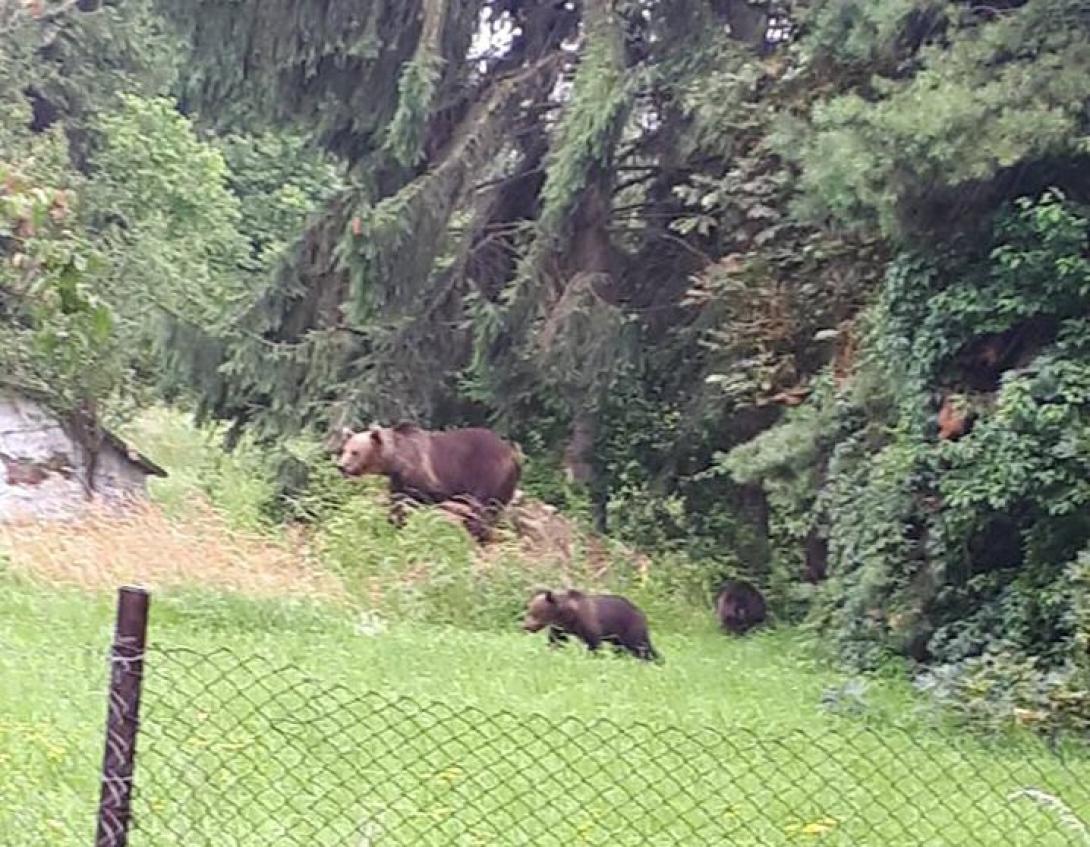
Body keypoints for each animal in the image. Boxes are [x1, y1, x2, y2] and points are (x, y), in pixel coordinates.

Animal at [333, 422, 521, 542]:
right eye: (344, 449)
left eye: (355, 452)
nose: (341, 466)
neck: (397, 461)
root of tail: (512, 453)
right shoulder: (399, 482)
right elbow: (398, 503)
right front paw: (393, 524)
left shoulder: (425, 478)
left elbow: (416, 501)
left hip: (488, 474)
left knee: (483, 508)